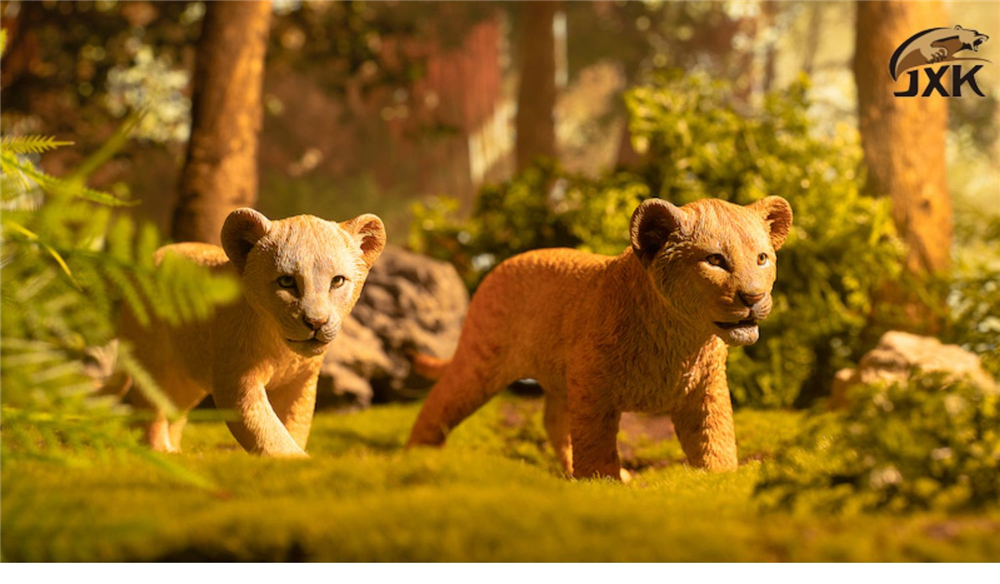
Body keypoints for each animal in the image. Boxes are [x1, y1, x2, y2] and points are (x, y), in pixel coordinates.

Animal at [110, 208, 386, 457]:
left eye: (337, 281)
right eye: (286, 281)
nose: (316, 322)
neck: (283, 350)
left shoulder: (301, 382)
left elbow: (296, 423)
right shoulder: (236, 379)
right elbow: (265, 429)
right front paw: (295, 460)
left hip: (186, 377)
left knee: (173, 407)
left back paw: (176, 451)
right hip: (153, 359)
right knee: (150, 407)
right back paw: (158, 451)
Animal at [407, 196, 792, 479]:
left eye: (762, 258)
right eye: (715, 260)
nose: (754, 297)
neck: (683, 337)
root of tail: (497, 267)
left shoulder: (704, 389)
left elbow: (715, 438)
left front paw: (721, 479)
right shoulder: (593, 390)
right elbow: (595, 443)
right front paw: (603, 485)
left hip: (563, 378)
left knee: (554, 423)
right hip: (482, 360)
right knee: (441, 402)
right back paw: (416, 460)